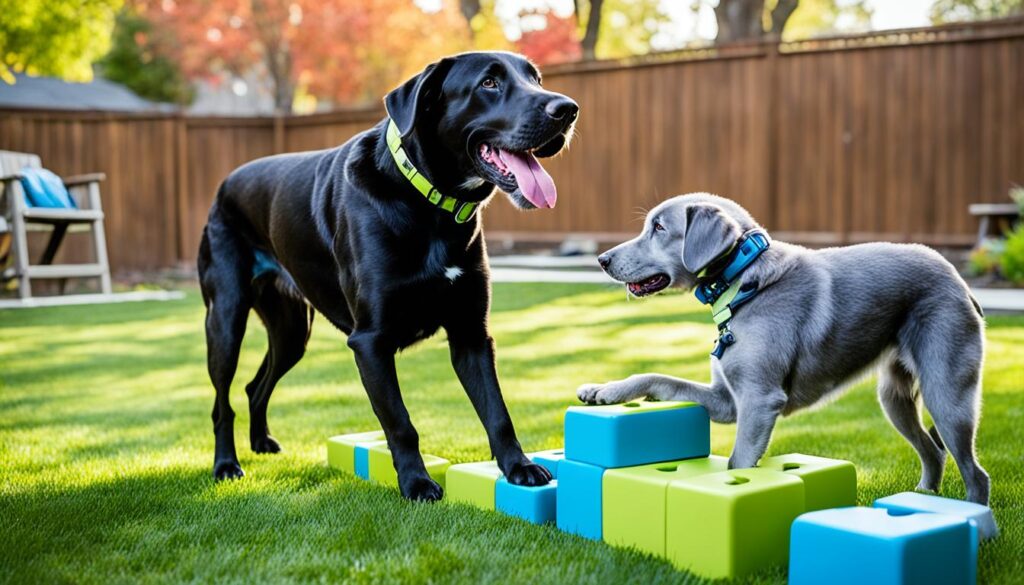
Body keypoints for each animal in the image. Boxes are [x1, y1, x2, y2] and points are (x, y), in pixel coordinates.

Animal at [193, 51, 577, 499]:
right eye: (489, 83)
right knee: (222, 401)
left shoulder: (471, 333)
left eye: (536, 79)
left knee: (256, 386)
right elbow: (400, 422)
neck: (432, 204)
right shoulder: (370, 342)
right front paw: (417, 483)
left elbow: (497, 412)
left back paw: (261, 442)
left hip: (291, 331)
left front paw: (519, 467)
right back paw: (226, 463)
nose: (568, 109)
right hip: (226, 320)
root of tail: (225, 185)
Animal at [585, 194, 991, 506]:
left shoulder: (759, 400)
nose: (602, 259)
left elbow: (738, 464)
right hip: (894, 398)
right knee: (934, 452)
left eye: (659, 228)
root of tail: (958, 278)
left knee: (976, 474)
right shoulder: (727, 401)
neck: (743, 282)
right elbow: (655, 377)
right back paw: (922, 500)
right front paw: (603, 390)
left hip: (946, 394)